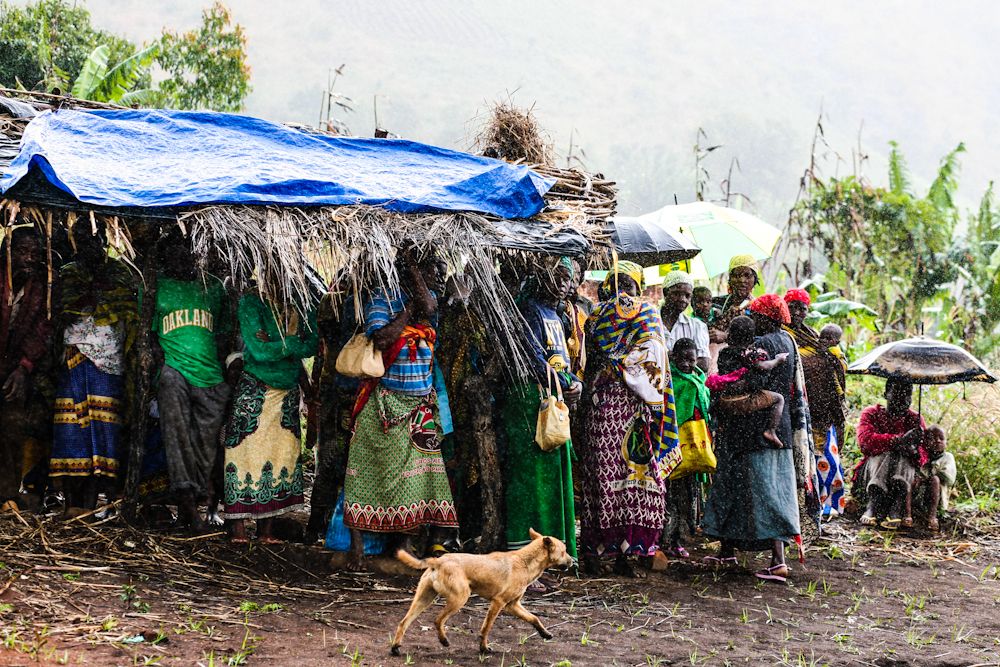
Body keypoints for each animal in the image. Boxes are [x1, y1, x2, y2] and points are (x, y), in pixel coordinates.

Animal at [392, 528, 580, 656]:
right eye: (564, 551)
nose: (573, 562)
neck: (524, 562)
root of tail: (437, 561)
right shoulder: (498, 602)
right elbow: (486, 628)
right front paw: (484, 648)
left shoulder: (513, 605)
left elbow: (534, 618)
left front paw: (545, 633)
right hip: (460, 598)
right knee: (438, 620)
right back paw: (444, 640)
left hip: (423, 598)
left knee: (403, 622)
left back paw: (395, 648)